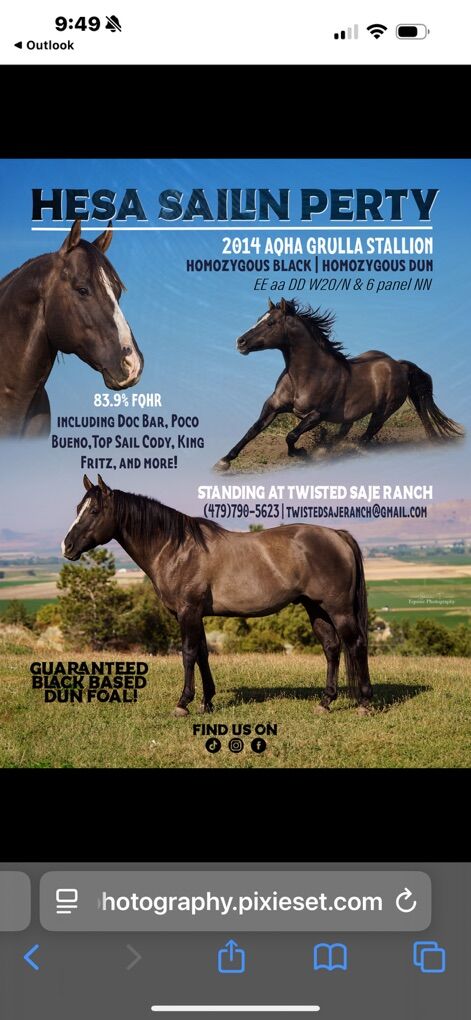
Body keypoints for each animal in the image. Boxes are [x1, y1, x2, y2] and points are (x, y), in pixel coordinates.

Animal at [62, 475, 373, 716]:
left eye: (94, 511)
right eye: (77, 508)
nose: (67, 546)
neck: (176, 548)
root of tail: (337, 535)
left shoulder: (188, 612)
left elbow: (188, 654)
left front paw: (183, 703)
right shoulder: (195, 615)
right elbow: (202, 653)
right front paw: (207, 701)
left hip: (339, 609)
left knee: (356, 644)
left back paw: (364, 702)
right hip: (316, 608)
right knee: (332, 648)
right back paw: (325, 702)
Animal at [214, 297, 463, 470]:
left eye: (271, 323)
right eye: (259, 319)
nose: (240, 342)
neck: (305, 375)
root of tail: (399, 365)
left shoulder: (316, 414)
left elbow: (291, 436)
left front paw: (303, 453)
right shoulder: (273, 406)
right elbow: (252, 430)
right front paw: (223, 461)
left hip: (384, 410)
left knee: (367, 434)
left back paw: (333, 453)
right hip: (353, 415)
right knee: (345, 432)